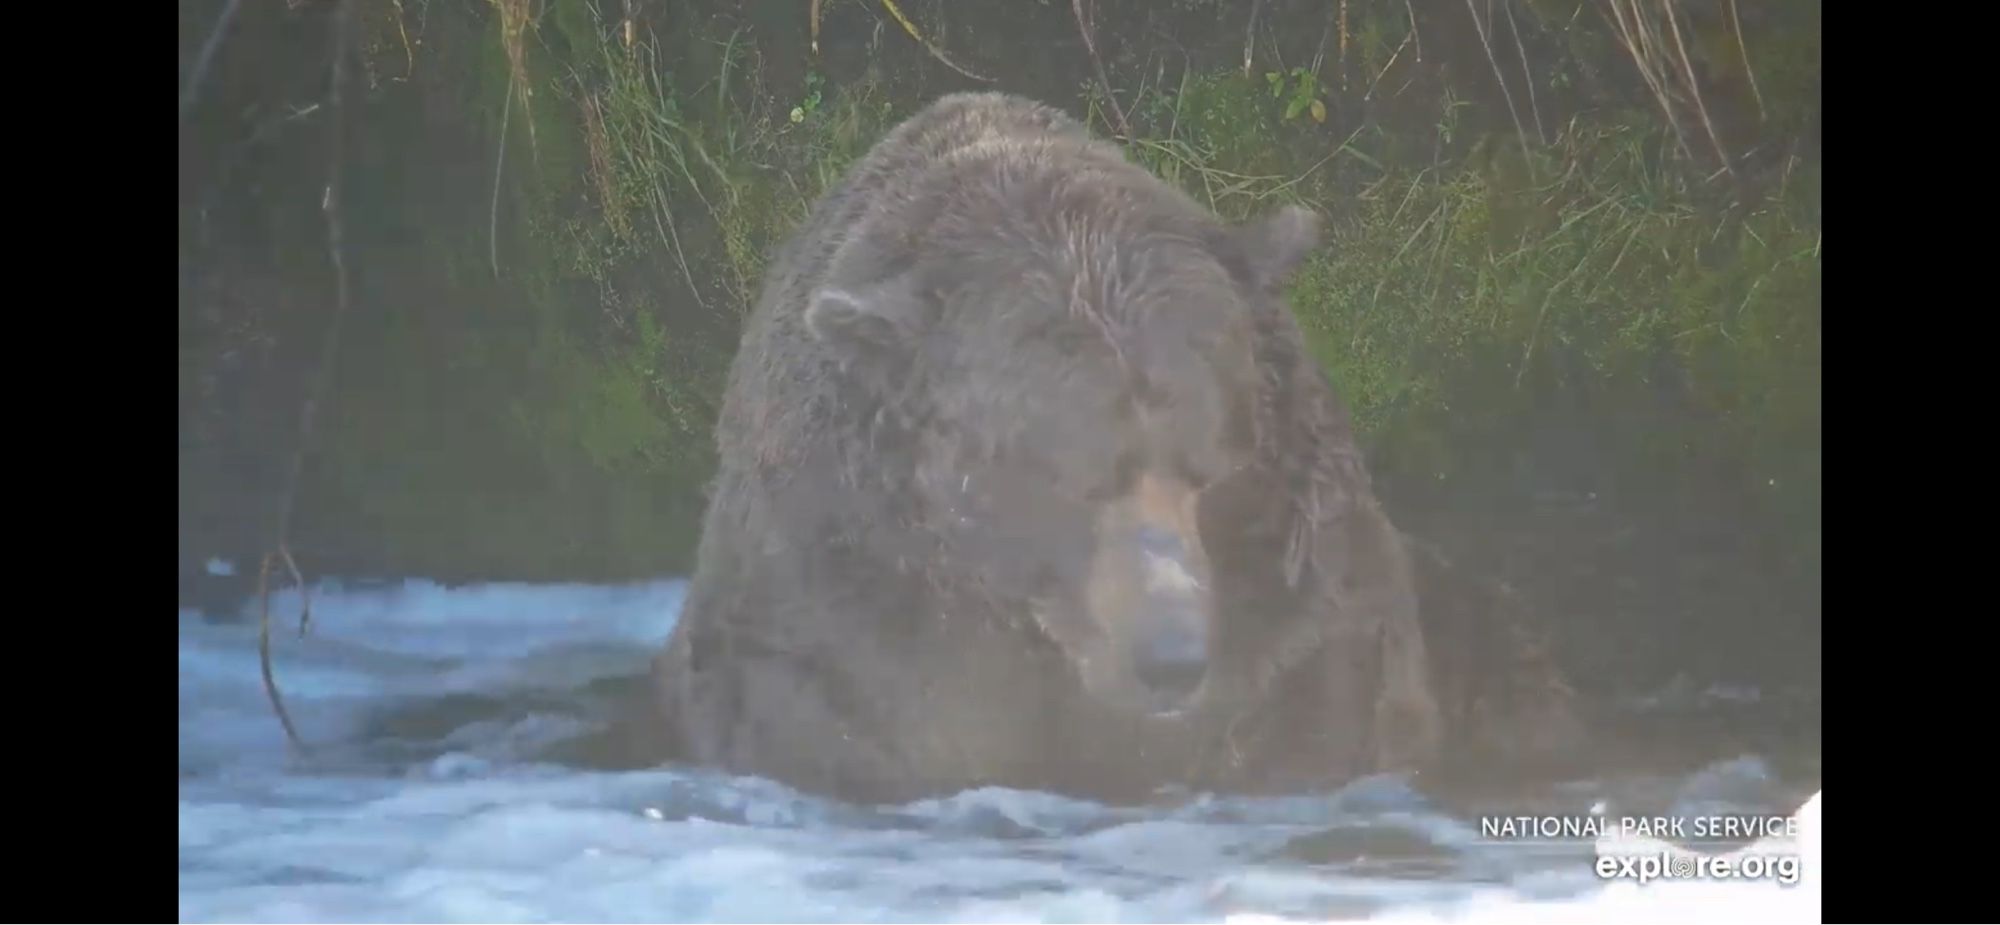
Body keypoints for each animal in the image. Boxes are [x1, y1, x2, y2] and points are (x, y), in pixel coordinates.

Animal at [644, 90, 1576, 804]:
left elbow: (1315, 697)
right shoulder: (845, 623)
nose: (1172, 657)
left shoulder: (1309, 618)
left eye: (1212, 465)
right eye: (1068, 476)